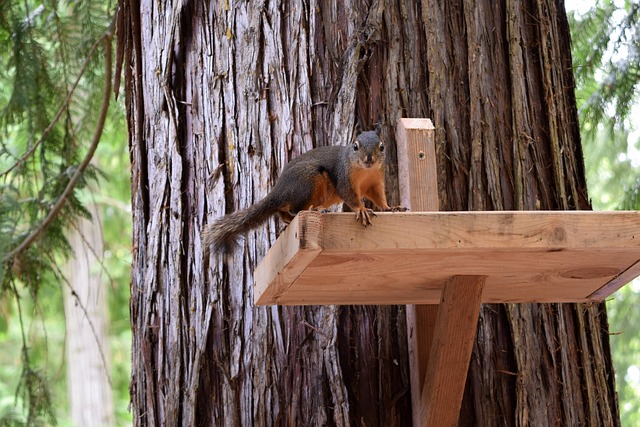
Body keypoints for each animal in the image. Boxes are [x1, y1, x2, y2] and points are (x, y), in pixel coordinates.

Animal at [202, 126, 408, 254]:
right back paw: (312, 210)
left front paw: (391, 207)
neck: (365, 171)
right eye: (355, 146)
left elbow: (379, 197)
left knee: (283, 212)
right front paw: (362, 210)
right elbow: (350, 196)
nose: (369, 159)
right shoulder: (344, 178)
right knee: (294, 209)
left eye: (382, 146)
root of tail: (278, 190)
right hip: (309, 180)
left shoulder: (375, 182)